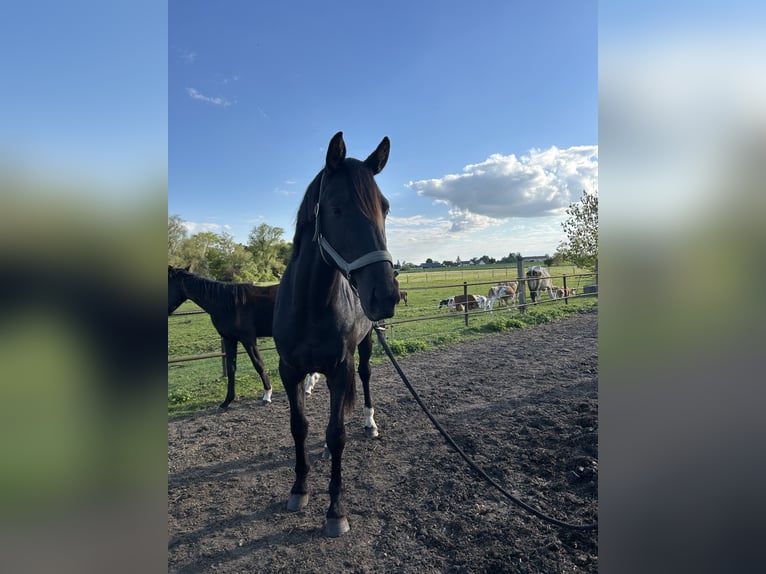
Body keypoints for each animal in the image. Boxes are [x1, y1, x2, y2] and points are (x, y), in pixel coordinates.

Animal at [168, 265, 277, 409]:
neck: (228, 304)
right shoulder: (229, 339)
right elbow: (231, 369)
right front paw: (227, 401)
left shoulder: (248, 339)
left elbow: (258, 364)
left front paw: (267, 394)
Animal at [272, 132, 400, 537]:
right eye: (337, 207)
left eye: (385, 208)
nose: (385, 295)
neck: (310, 304)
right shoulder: (289, 370)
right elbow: (300, 426)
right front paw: (299, 489)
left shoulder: (341, 367)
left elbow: (337, 432)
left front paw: (336, 510)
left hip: (366, 345)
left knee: (365, 378)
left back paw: (370, 424)